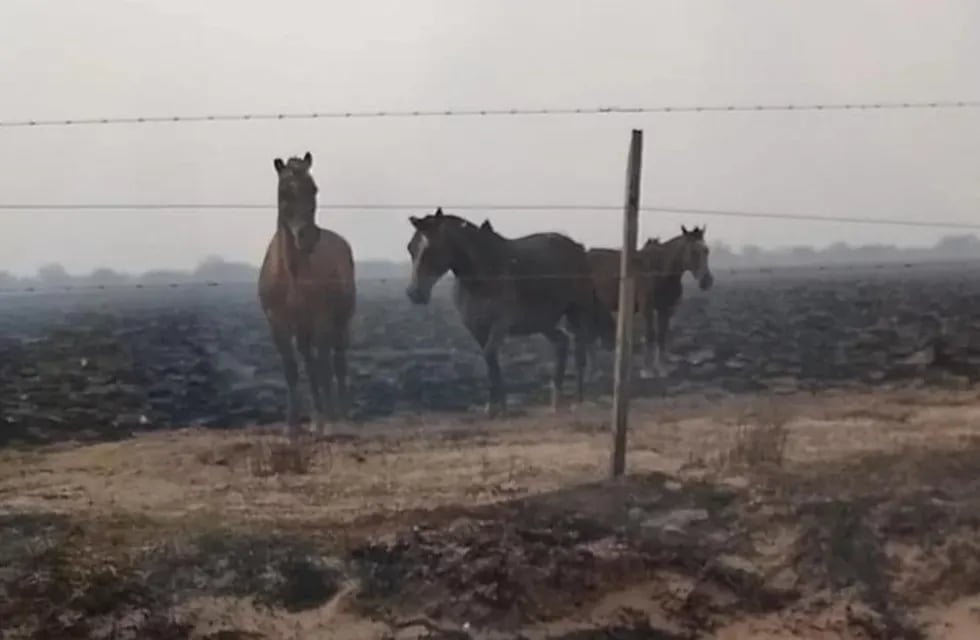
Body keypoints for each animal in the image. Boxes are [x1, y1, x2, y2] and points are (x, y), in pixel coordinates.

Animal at [256, 152, 356, 438]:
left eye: (314, 189)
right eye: (285, 192)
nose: (308, 237)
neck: (291, 274)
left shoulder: (321, 319)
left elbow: (324, 366)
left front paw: (330, 422)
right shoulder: (277, 324)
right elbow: (292, 370)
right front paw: (292, 426)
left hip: (339, 322)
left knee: (336, 362)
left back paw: (340, 417)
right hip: (302, 329)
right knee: (310, 362)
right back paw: (316, 418)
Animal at [404, 210, 612, 416]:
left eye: (431, 249)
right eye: (410, 248)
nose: (414, 294)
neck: (481, 276)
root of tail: (578, 247)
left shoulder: (500, 324)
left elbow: (490, 356)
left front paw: (500, 407)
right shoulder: (476, 328)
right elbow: (490, 362)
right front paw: (492, 406)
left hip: (578, 311)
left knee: (580, 352)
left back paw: (578, 400)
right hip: (542, 321)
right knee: (562, 342)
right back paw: (555, 401)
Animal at [584, 225, 716, 378]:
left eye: (707, 250)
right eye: (693, 251)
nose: (707, 281)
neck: (658, 270)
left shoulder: (665, 308)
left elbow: (662, 335)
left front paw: (662, 367)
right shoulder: (647, 308)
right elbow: (650, 335)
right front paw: (647, 370)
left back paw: (594, 370)